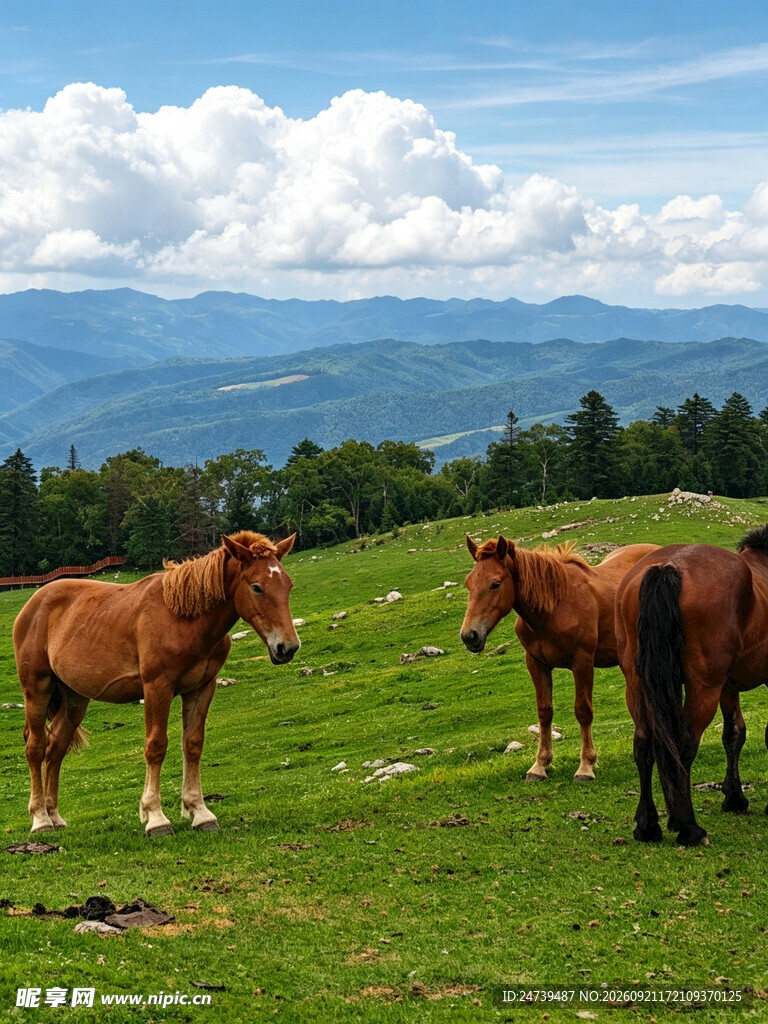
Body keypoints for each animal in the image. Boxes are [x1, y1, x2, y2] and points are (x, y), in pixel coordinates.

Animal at [13, 531, 300, 837]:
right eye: (257, 587)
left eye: (287, 585)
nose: (287, 647)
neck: (184, 619)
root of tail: (33, 603)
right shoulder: (156, 688)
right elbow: (156, 747)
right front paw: (156, 817)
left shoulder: (201, 688)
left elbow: (193, 745)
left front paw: (200, 812)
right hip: (37, 689)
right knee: (36, 747)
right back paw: (40, 819)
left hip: (74, 699)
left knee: (56, 749)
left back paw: (54, 816)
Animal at [461, 535, 660, 782]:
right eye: (468, 583)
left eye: (495, 583)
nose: (469, 636)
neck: (555, 608)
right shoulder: (536, 663)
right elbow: (544, 712)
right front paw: (539, 766)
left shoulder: (582, 662)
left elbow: (583, 711)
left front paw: (586, 766)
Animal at [616, 525, 768, 847]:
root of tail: (667, 567)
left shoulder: (728, 687)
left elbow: (734, 734)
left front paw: (734, 798)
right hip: (703, 688)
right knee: (684, 744)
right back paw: (688, 826)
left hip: (636, 685)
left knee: (644, 744)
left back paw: (649, 825)